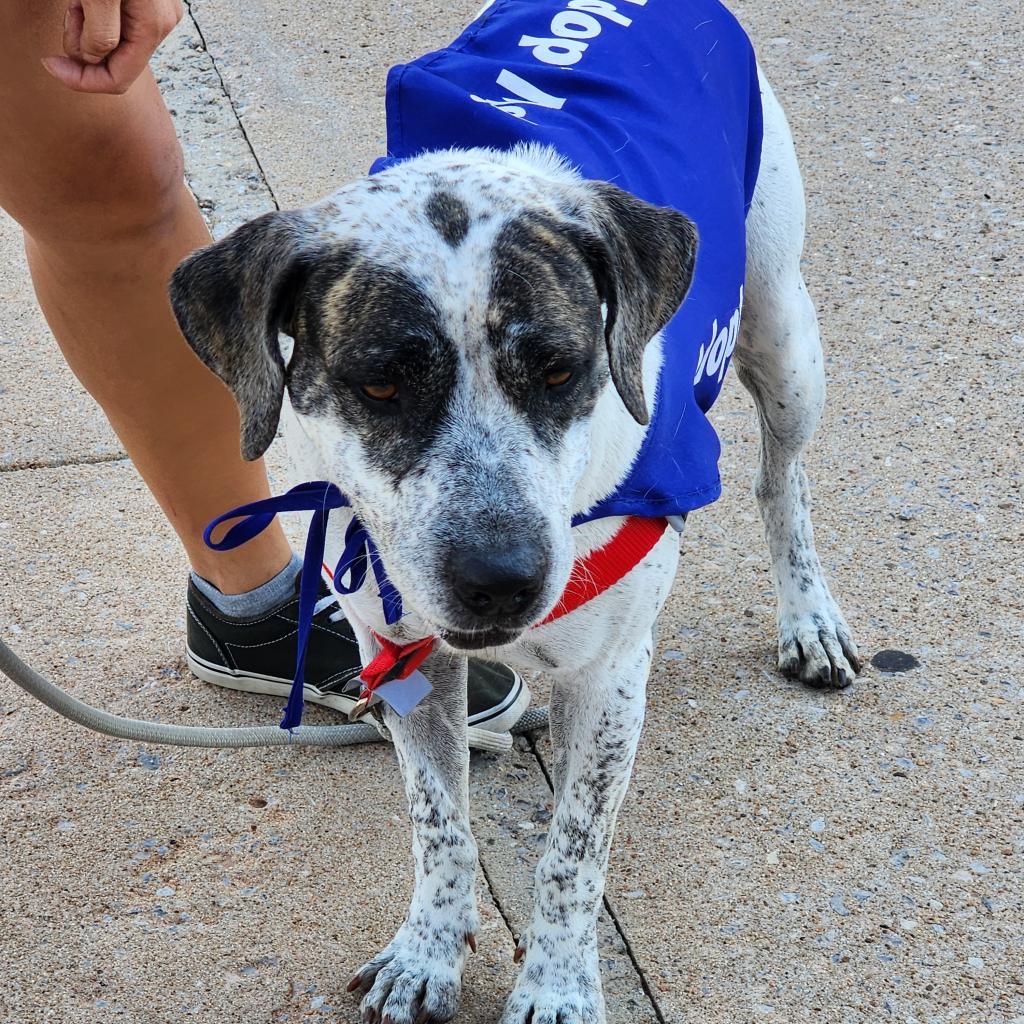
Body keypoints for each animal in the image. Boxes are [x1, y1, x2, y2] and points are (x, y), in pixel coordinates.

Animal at [167, 0, 856, 1015]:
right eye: (380, 383)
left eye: (561, 370)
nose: (500, 582)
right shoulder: (401, 657)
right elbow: (439, 825)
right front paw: (427, 953)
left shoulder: (608, 680)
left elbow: (573, 850)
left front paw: (560, 984)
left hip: (782, 328)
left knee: (784, 483)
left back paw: (809, 617)